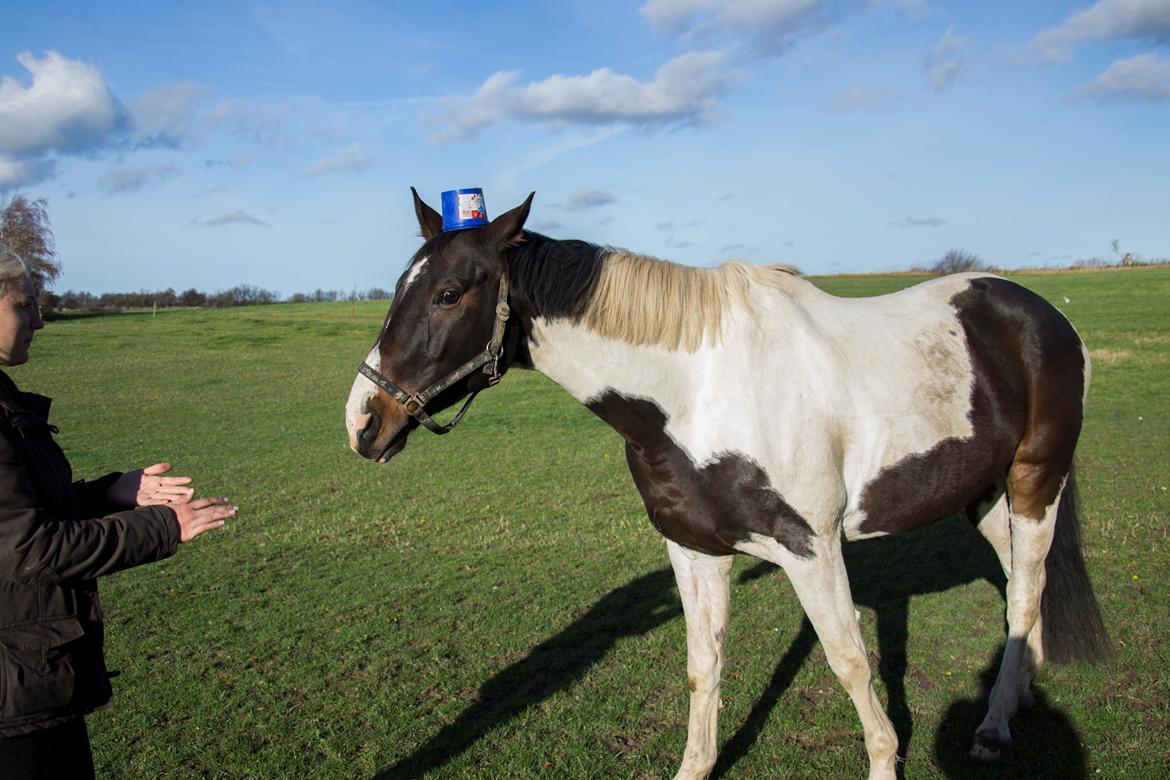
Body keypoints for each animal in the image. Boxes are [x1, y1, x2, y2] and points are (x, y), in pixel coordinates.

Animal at [341, 190, 1109, 780]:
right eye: (399, 289)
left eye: (448, 293)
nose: (363, 422)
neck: (695, 392)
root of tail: (1045, 315)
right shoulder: (694, 549)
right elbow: (703, 666)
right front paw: (697, 764)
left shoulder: (812, 549)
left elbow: (849, 662)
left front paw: (885, 761)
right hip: (985, 496)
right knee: (1021, 587)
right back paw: (1017, 698)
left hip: (1036, 481)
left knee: (1025, 592)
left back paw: (993, 729)